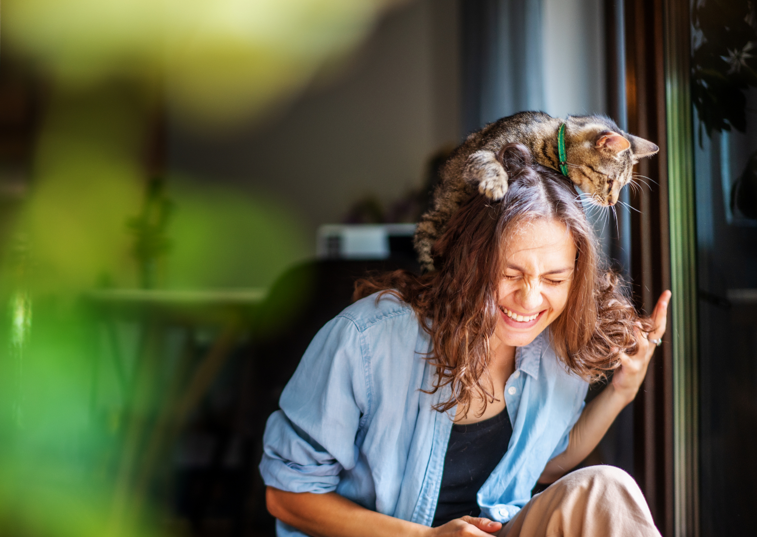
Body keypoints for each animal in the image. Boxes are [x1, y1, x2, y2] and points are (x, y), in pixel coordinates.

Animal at [414, 110, 656, 272]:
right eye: (610, 181)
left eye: (622, 185)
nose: (612, 202)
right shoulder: (483, 151)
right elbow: (488, 163)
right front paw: (496, 184)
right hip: (432, 222)